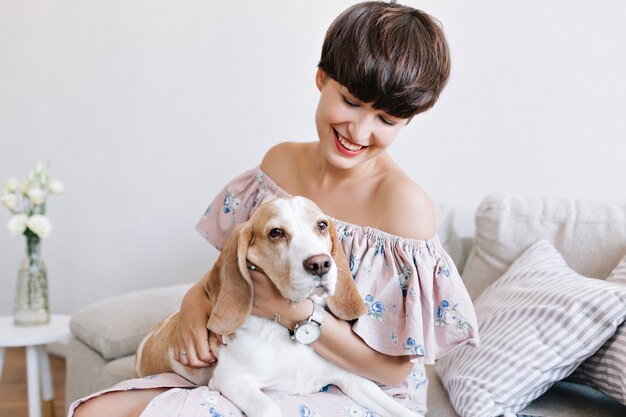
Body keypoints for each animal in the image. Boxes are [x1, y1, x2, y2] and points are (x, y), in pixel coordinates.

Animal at [136, 196, 420, 416]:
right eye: (276, 233)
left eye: (321, 225)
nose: (320, 264)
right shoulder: (232, 379)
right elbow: (269, 407)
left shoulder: (354, 379)